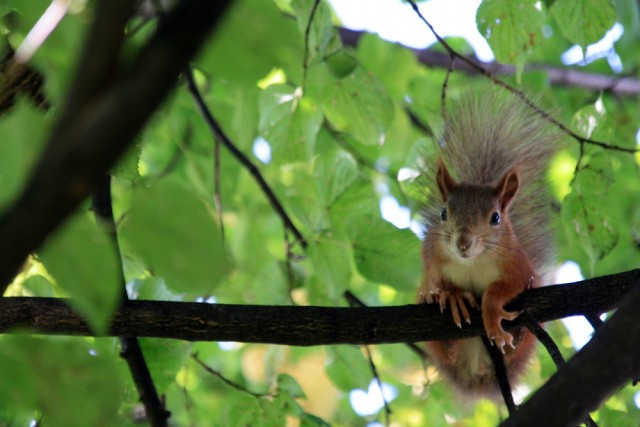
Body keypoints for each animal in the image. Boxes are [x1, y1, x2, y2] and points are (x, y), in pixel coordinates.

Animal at [416, 89, 560, 398]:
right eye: (443, 213)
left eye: (495, 218)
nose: (463, 242)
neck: (473, 261)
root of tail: (477, 371)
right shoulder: (432, 251)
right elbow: (435, 274)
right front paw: (451, 294)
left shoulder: (515, 261)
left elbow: (504, 286)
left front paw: (492, 309)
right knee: (447, 353)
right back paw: (431, 304)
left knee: (516, 348)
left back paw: (519, 328)